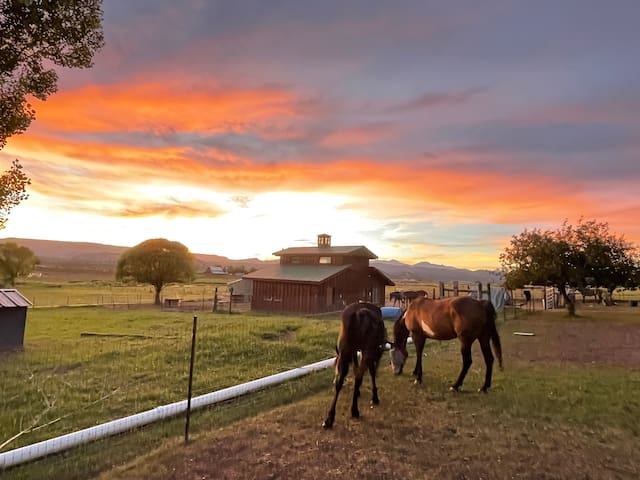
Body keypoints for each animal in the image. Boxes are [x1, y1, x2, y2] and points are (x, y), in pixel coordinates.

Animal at [322, 302, 388, 430]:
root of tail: (361, 313)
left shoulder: (355, 352)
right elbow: (370, 372)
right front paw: (374, 397)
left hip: (346, 352)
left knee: (341, 381)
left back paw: (330, 419)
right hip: (364, 351)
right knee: (358, 376)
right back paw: (354, 410)